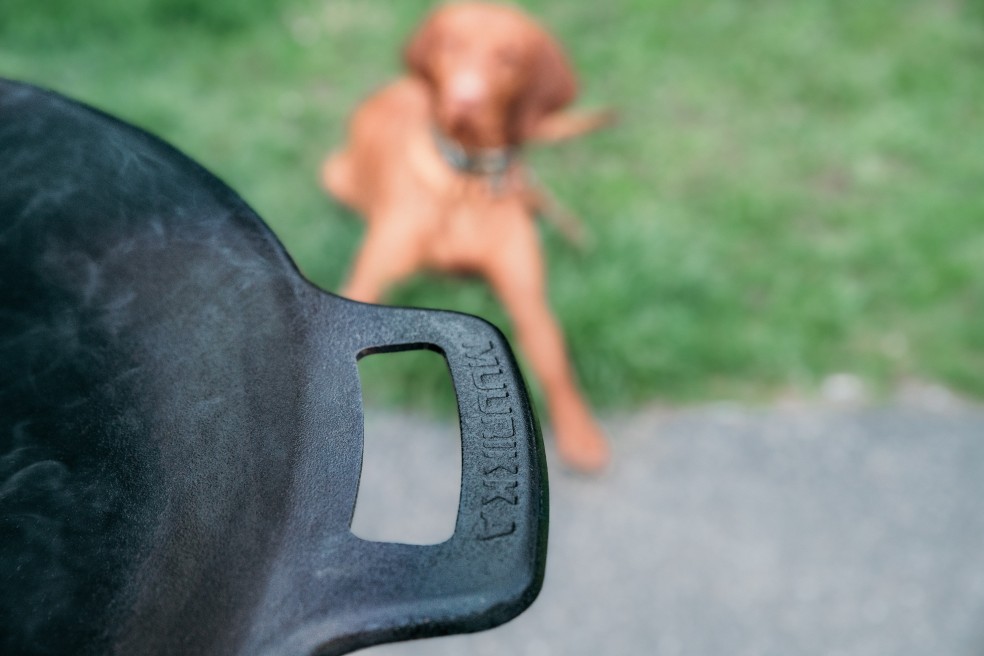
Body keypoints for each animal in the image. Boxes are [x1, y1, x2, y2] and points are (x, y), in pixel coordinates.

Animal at [322, 1, 612, 472]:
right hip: (333, 174)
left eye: (509, 58)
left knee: (543, 197)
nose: (464, 99)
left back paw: (578, 236)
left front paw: (581, 433)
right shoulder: (368, 280)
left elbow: (554, 359)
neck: (465, 181)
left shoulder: (526, 294)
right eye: (450, 44)